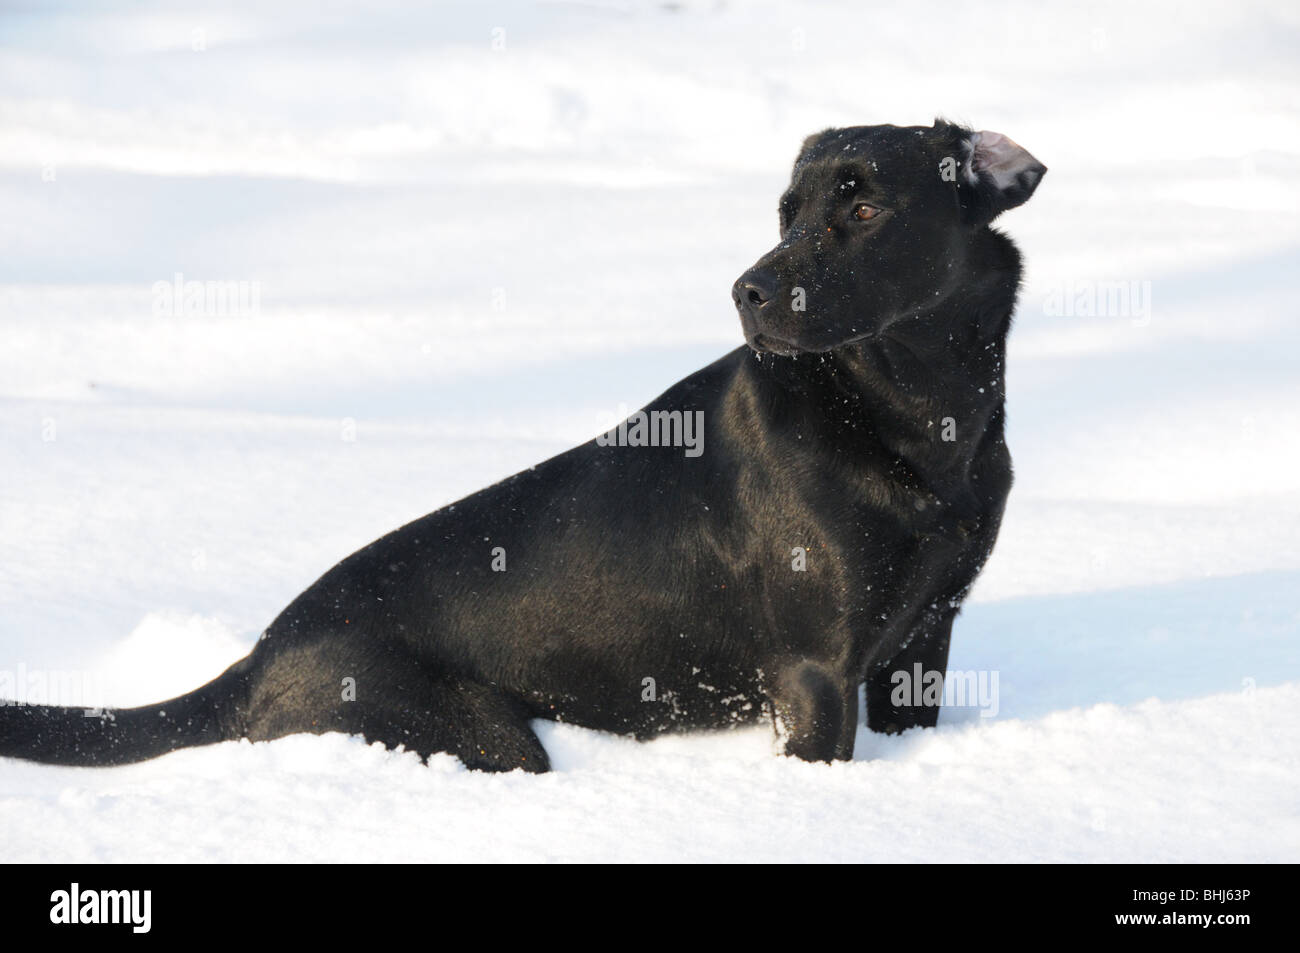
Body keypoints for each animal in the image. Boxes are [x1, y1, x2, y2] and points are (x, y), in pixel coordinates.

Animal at [0, 120, 1034, 774]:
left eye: (863, 210)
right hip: (486, 734)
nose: (748, 290)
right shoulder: (816, 673)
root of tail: (256, 661)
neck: (914, 412)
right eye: (785, 212)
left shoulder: (925, 635)